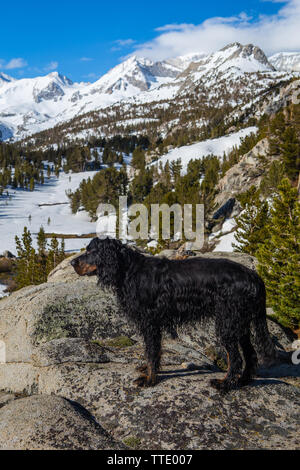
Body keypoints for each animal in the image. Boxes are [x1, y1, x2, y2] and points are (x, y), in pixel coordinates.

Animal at [71, 237, 276, 392]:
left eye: (91, 251)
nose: (73, 262)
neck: (128, 270)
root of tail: (254, 277)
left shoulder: (150, 321)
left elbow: (152, 351)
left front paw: (149, 379)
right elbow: (153, 351)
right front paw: (149, 370)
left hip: (228, 321)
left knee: (235, 357)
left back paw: (225, 384)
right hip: (239, 322)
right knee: (250, 354)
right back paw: (243, 381)